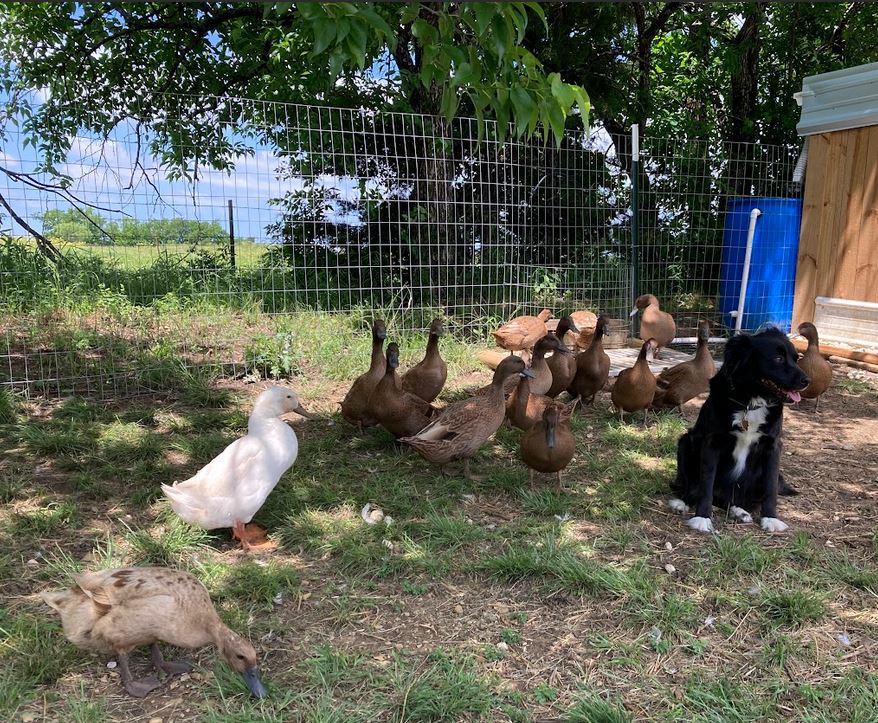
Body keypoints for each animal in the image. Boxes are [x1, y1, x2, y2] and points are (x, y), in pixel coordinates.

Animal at [672, 328, 812, 532]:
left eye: (796, 358)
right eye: (778, 358)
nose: (807, 380)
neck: (750, 402)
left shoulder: (773, 447)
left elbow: (770, 488)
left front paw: (770, 518)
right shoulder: (711, 443)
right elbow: (705, 485)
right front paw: (702, 517)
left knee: (735, 500)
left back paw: (740, 511)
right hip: (685, 442)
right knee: (696, 487)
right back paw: (683, 502)